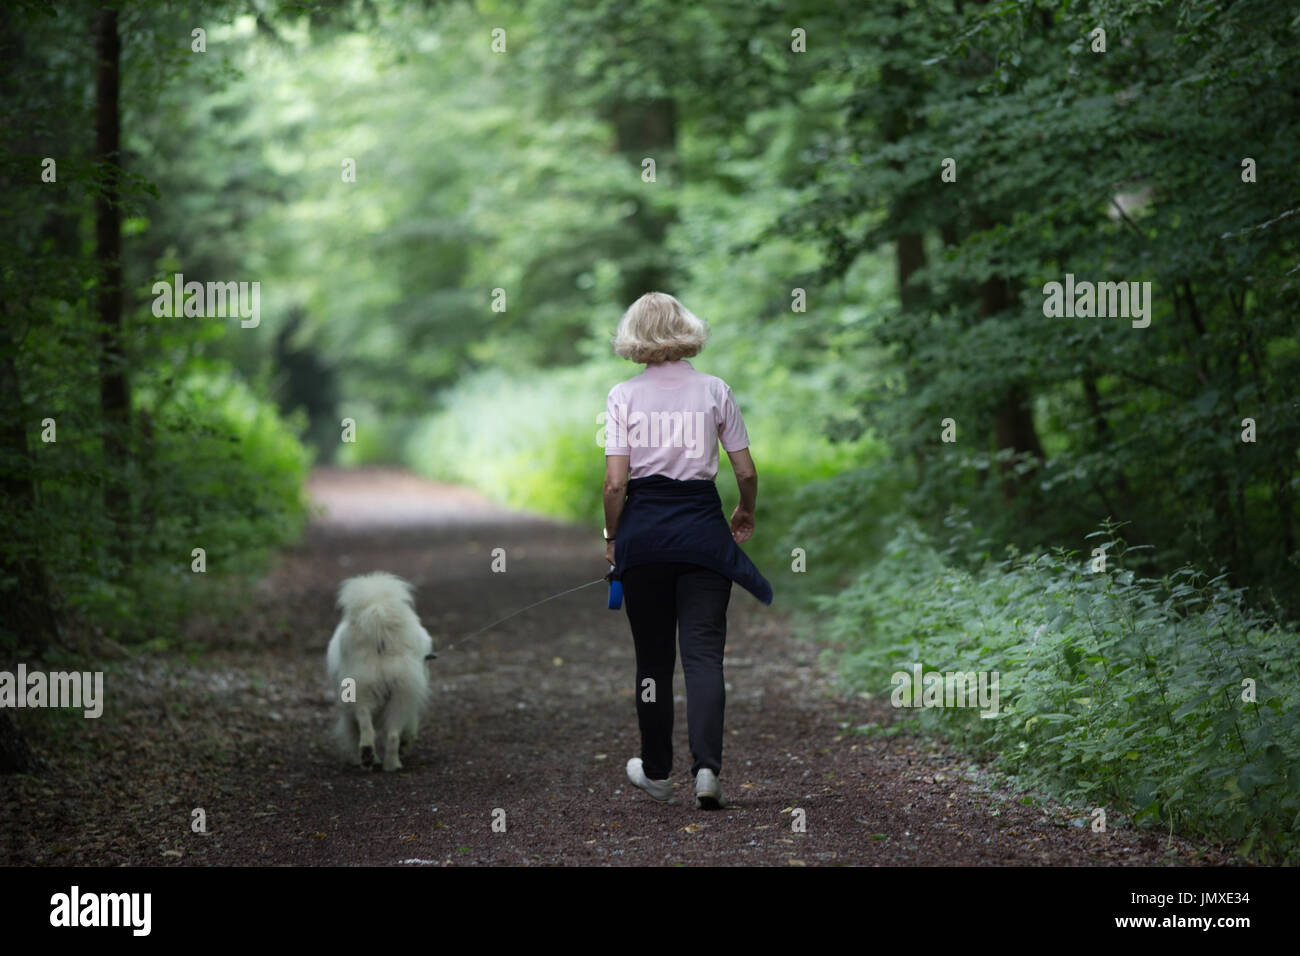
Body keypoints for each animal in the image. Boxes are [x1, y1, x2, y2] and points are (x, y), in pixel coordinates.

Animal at [325, 574, 436, 770]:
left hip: (365, 688)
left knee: (367, 725)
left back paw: (373, 757)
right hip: (398, 693)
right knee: (390, 733)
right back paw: (389, 763)